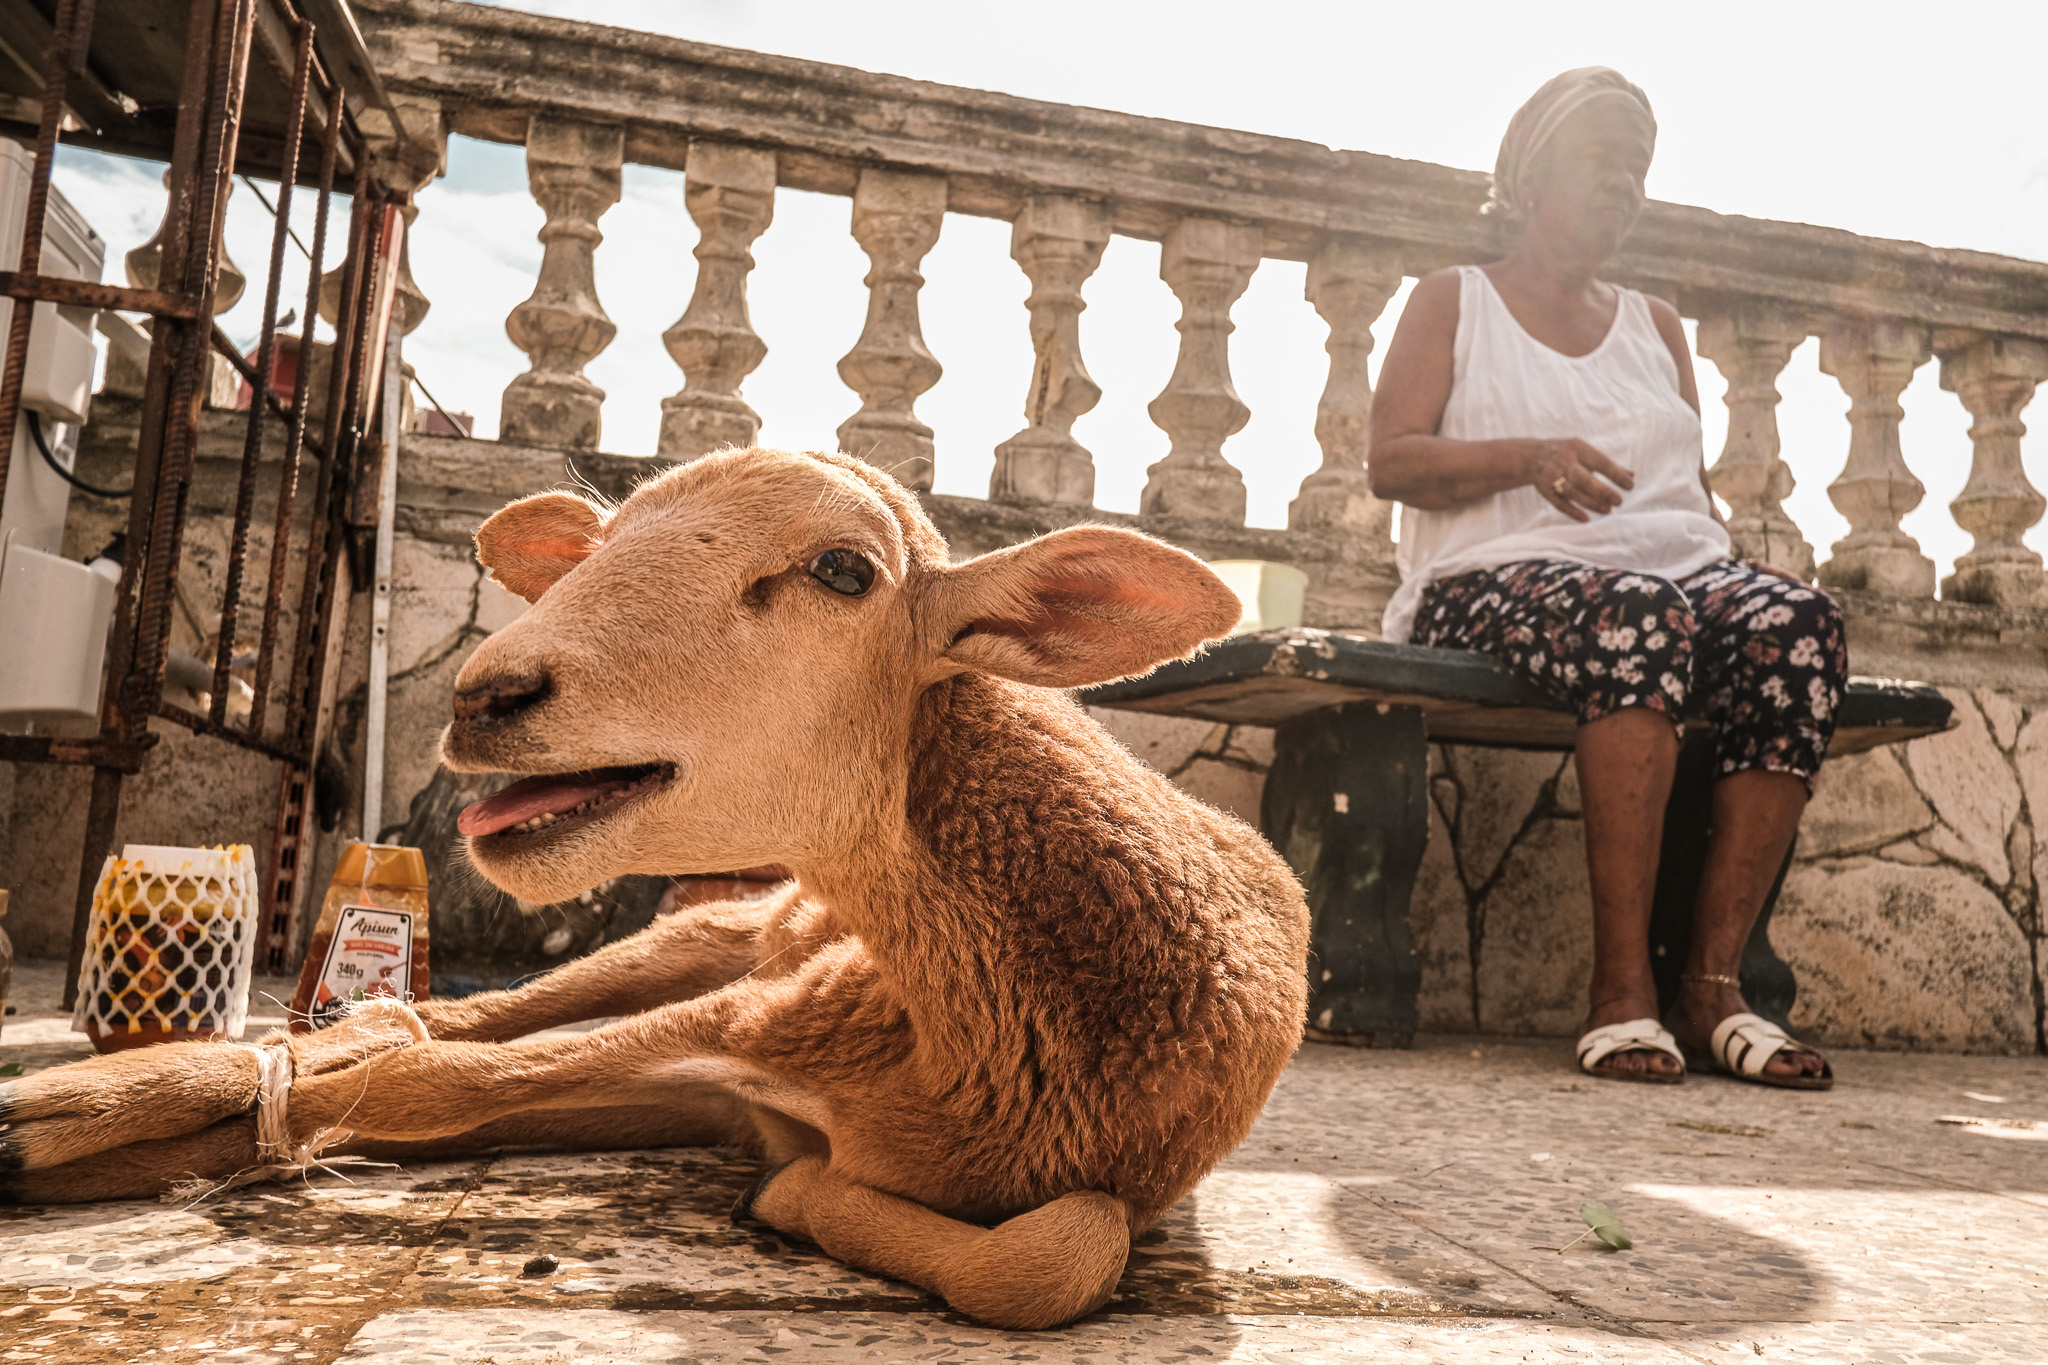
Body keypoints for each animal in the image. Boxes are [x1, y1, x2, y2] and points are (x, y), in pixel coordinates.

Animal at [0, 450, 1310, 1334]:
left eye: (845, 570)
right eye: (593, 551)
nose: (487, 694)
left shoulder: (754, 1077)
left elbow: (1053, 1260)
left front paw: (792, 1195)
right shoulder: (751, 1019)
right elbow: (437, 1076)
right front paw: (69, 1115)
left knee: (414, 1049)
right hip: (704, 944)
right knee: (450, 1024)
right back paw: (90, 1107)